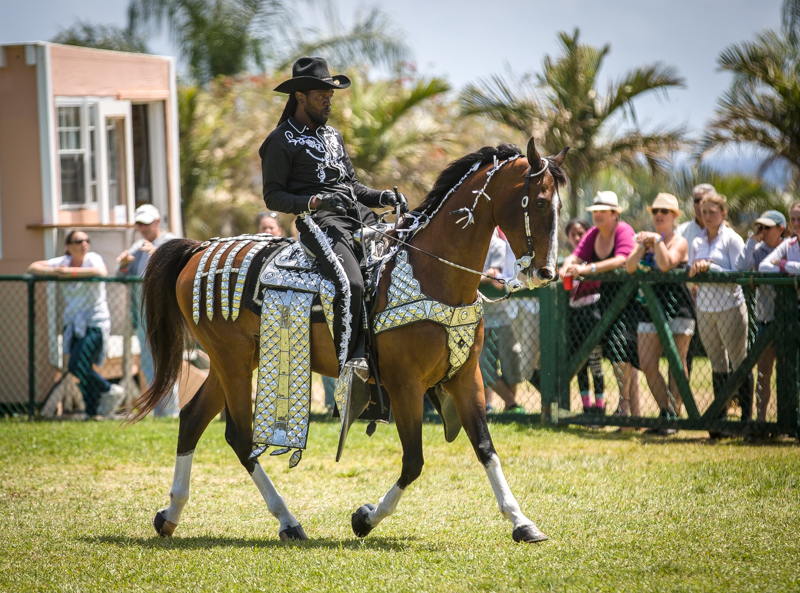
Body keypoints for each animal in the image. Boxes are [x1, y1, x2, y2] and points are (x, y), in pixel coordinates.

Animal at [133, 138, 568, 540]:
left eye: (559, 206)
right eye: (539, 202)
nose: (546, 272)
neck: (431, 273)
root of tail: (198, 250)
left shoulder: (466, 377)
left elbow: (485, 449)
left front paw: (522, 521)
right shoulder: (405, 385)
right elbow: (414, 461)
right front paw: (365, 518)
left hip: (232, 362)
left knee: (192, 419)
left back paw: (170, 515)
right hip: (233, 362)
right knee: (239, 437)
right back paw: (287, 521)